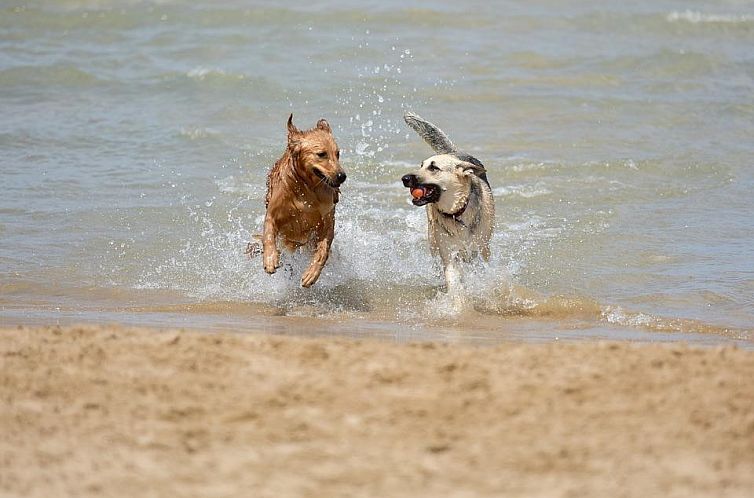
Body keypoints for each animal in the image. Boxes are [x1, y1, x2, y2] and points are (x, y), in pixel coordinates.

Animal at [254, 115, 346, 288]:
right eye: (321, 154)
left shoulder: (327, 221)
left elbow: (323, 250)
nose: (342, 176)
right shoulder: (273, 214)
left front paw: (312, 273)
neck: (307, 189)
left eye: (337, 154)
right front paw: (270, 259)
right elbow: (268, 235)